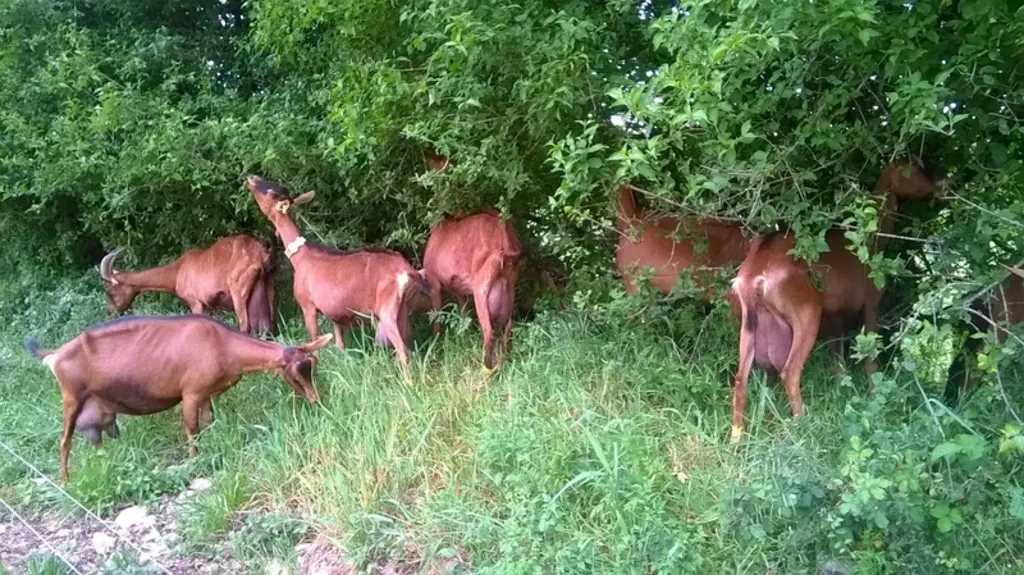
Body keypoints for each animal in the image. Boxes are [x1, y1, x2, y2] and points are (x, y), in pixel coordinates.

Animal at [24, 315, 332, 481]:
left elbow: (209, 423)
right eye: (295, 375)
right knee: (64, 440)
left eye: (312, 366)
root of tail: (54, 355)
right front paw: (194, 462)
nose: (315, 401)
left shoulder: (207, 394)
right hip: (71, 397)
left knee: (96, 439)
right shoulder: (191, 392)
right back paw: (64, 479)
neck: (224, 346)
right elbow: (192, 428)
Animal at [99, 234, 277, 335]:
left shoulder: (196, 304)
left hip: (238, 291)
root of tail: (260, 254)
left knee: (245, 327)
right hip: (267, 288)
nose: (110, 312)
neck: (178, 270)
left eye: (109, 290)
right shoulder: (207, 307)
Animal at [246, 175, 429, 378]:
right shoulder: (334, 313)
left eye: (271, 192)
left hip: (387, 310)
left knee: (402, 351)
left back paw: (408, 382)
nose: (252, 177)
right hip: (403, 310)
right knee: (407, 347)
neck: (301, 257)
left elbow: (315, 343)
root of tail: (407, 271)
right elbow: (340, 345)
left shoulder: (307, 305)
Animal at [420, 210, 523, 372]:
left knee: (489, 332)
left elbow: (436, 315)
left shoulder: (433, 281)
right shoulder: (458, 289)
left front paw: (434, 343)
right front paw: (463, 336)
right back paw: (504, 362)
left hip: (481, 288)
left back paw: (487, 369)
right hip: (509, 286)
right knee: (508, 328)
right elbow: (463, 313)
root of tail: (505, 238)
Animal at [728, 155, 948, 442]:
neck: (872, 240)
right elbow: (869, 360)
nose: (943, 184)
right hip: (806, 309)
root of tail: (754, 276)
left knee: (742, 376)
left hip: (749, 318)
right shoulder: (871, 302)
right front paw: (874, 398)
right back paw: (803, 426)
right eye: (914, 166)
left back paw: (737, 437)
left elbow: (838, 362)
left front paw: (842, 396)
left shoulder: (836, 315)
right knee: (790, 371)